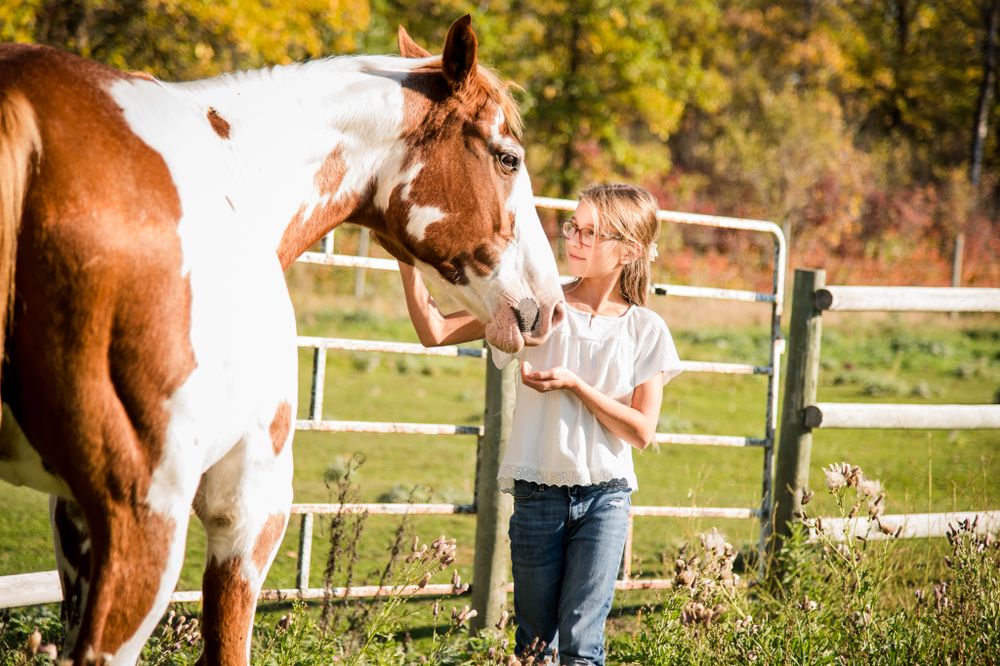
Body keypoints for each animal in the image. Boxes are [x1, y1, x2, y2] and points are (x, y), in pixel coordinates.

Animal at [0, 15, 564, 664]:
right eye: (507, 158)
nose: (550, 307)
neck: (237, 172)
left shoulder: (73, 517)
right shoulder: (251, 507)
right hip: (146, 523)